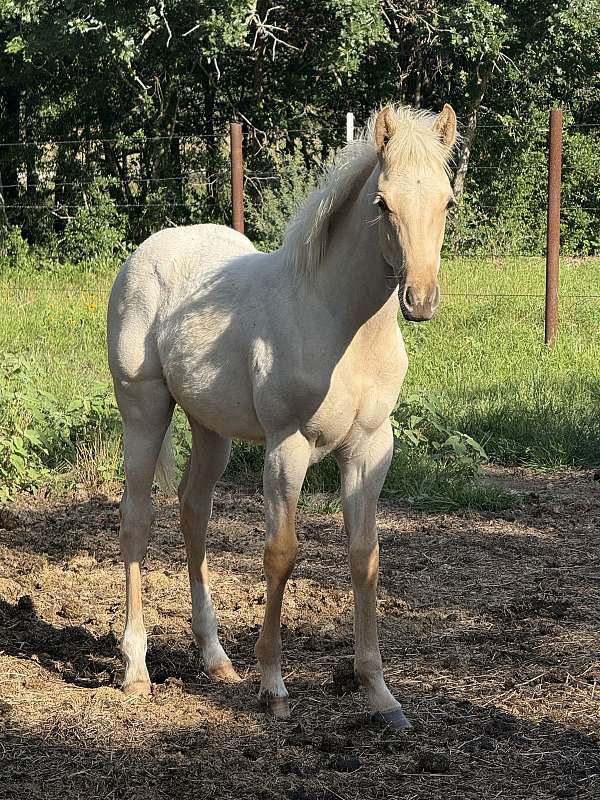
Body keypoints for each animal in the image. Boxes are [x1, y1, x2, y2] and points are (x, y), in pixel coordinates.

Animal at [107, 103, 458, 729]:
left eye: (447, 201)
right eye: (382, 203)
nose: (420, 299)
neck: (339, 322)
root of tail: (147, 252)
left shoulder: (371, 449)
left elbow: (365, 556)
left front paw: (380, 693)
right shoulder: (287, 445)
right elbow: (281, 554)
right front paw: (273, 686)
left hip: (211, 427)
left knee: (194, 511)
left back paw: (216, 658)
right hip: (143, 412)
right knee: (136, 520)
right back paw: (137, 668)